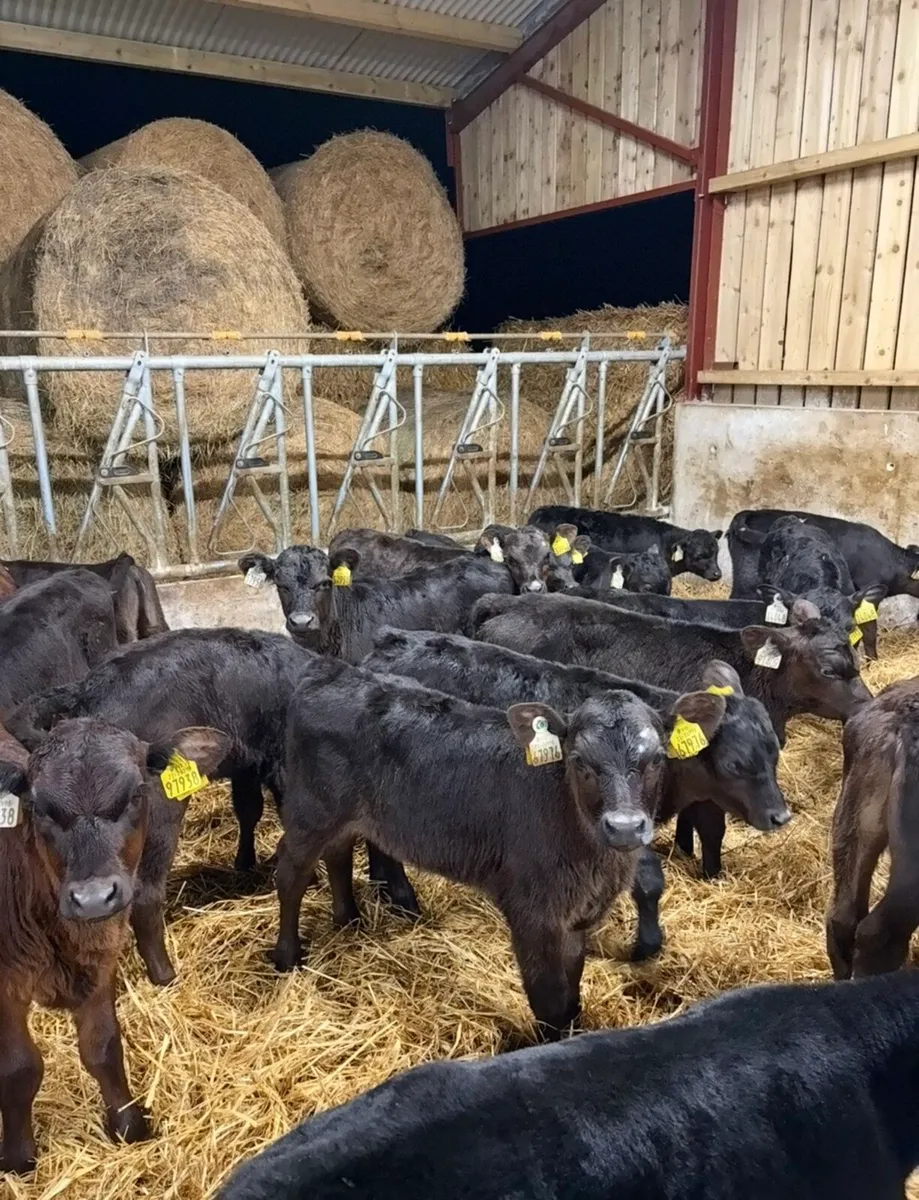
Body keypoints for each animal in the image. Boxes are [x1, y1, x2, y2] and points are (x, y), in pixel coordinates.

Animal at [0, 716, 228, 1173]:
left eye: (137, 792)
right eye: (38, 806)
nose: (92, 897)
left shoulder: (102, 961)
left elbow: (103, 1048)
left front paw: (129, 1126)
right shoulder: (4, 985)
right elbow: (18, 1068)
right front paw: (18, 1159)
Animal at [273, 655, 665, 1038]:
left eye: (657, 759)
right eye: (579, 760)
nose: (625, 827)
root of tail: (332, 670)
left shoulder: (574, 916)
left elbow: (571, 995)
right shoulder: (533, 912)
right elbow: (551, 1002)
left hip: (344, 815)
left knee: (338, 853)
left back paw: (349, 920)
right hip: (310, 810)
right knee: (291, 873)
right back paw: (287, 957)